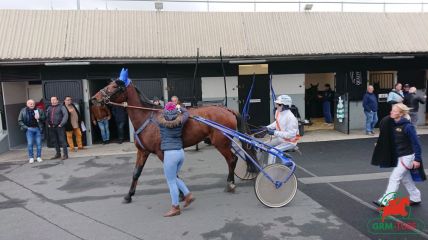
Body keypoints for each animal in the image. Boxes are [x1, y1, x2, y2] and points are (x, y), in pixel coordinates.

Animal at [90, 80, 251, 202]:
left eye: (113, 86)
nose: (94, 98)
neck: (147, 118)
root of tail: (227, 109)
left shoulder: (162, 152)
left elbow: (173, 174)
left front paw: (180, 194)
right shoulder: (142, 151)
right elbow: (136, 173)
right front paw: (129, 195)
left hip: (221, 143)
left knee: (232, 159)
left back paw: (230, 183)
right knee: (233, 159)